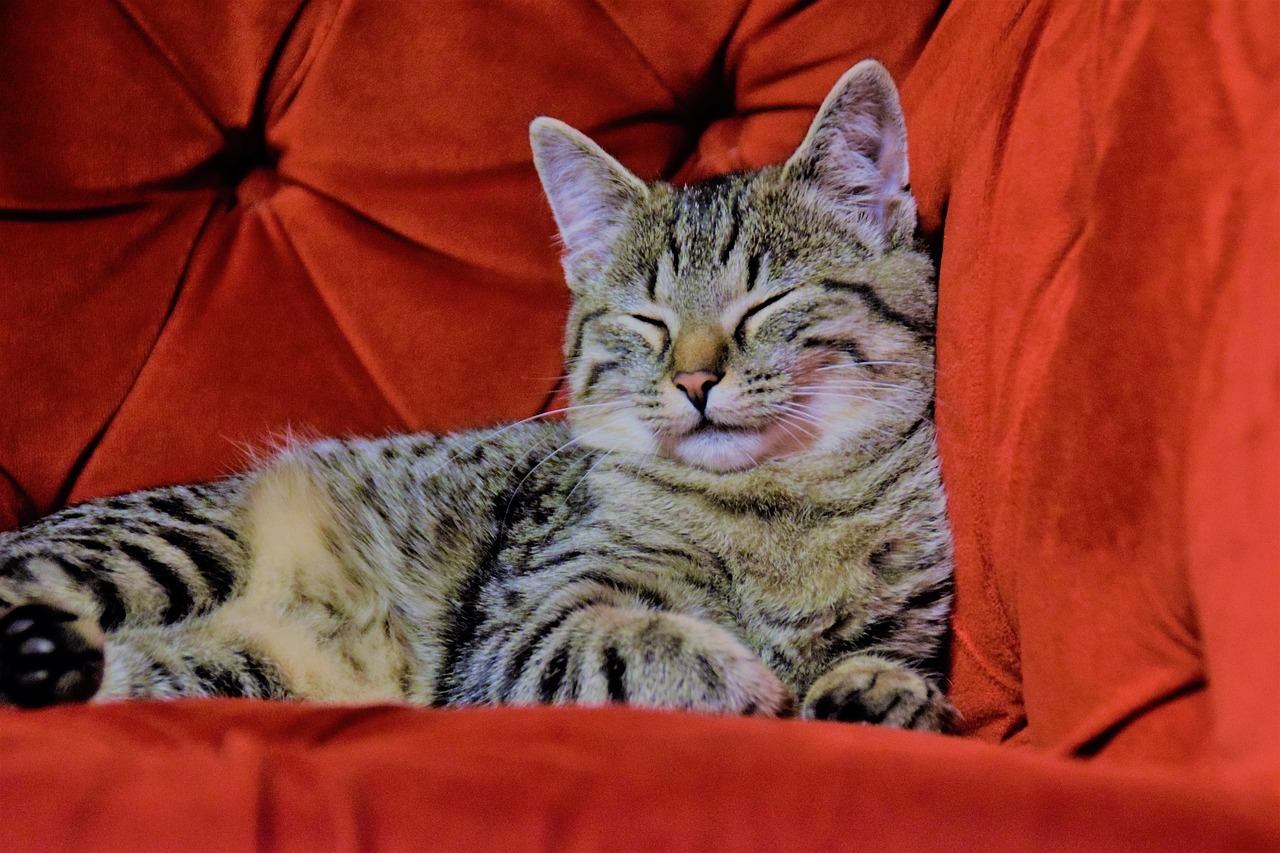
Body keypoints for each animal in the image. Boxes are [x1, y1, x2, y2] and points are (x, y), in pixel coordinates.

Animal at [0, 58, 952, 722]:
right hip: (172, 546)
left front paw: (878, 692)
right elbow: (622, 645)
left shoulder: (913, 620)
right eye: (644, 320)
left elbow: (887, 662)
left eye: (766, 302)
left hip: (224, 666)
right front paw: (738, 672)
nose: (694, 378)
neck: (777, 511)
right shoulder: (513, 632)